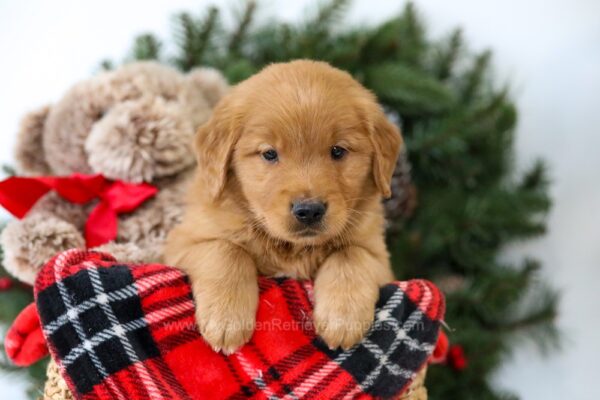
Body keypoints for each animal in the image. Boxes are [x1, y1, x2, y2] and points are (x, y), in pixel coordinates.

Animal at [164, 59, 400, 354]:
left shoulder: (380, 257)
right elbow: (226, 249)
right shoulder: (182, 243)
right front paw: (226, 318)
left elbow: (351, 254)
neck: (292, 248)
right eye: (269, 153)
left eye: (338, 151)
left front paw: (343, 318)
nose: (309, 210)